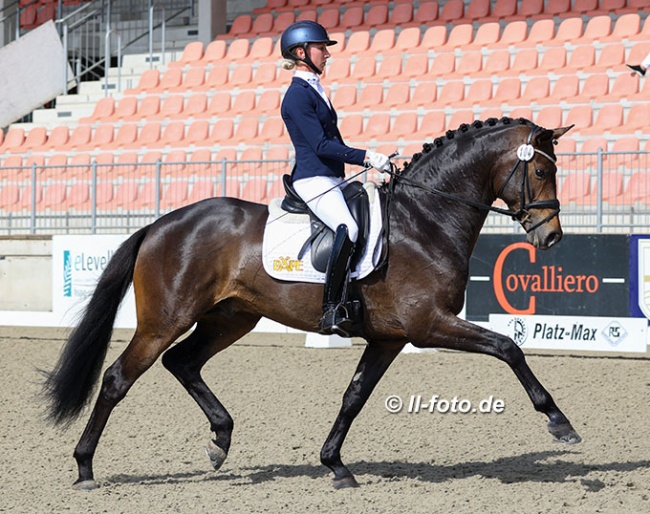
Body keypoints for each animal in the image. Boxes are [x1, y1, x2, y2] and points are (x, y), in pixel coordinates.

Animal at [43, 117, 580, 488]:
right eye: (539, 169)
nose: (551, 236)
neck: (426, 219)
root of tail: (159, 224)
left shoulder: (389, 338)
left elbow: (354, 396)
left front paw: (335, 465)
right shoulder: (429, 324)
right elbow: (508, 347)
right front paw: (559, 422)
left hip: (231, 318)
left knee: (183, 362)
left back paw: (220, 440)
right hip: (165, 320)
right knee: (119, 377)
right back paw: (85, 467)